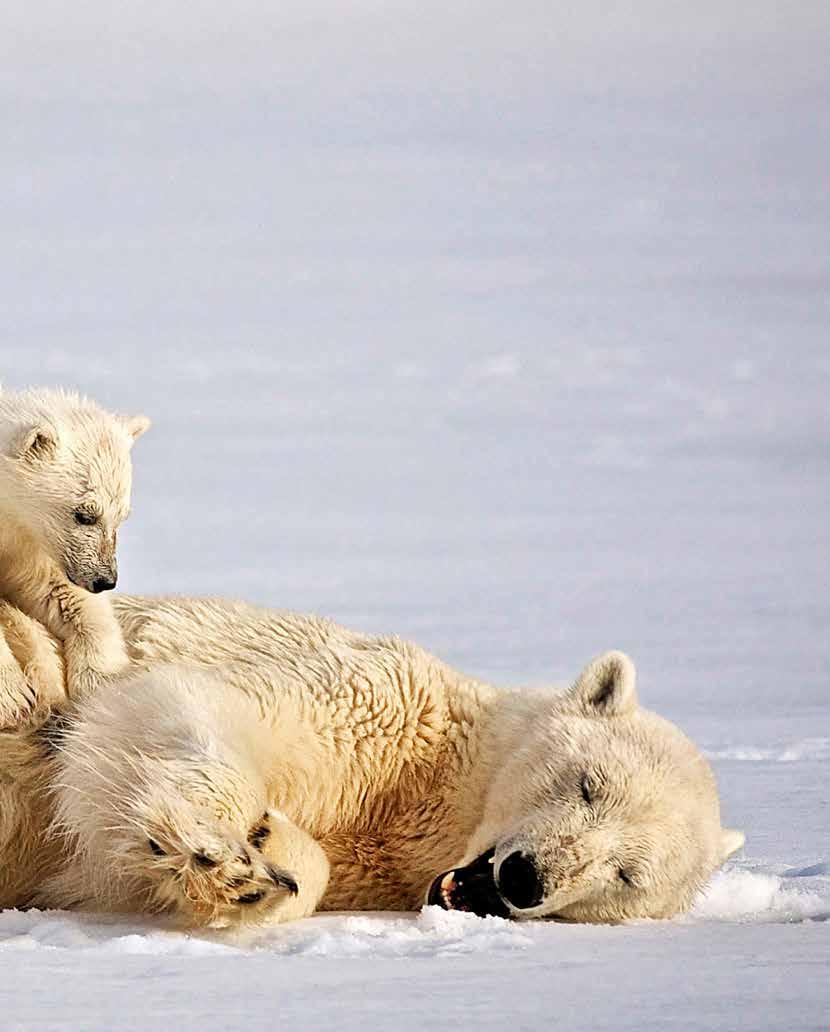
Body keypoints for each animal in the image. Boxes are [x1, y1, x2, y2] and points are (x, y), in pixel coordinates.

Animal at [0, 598, 739, 928]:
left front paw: (264, 864)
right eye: (587, 785)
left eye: (627, 874)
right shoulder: (378, 702)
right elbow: (188, 705)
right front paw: (219, 852)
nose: (526, 879)